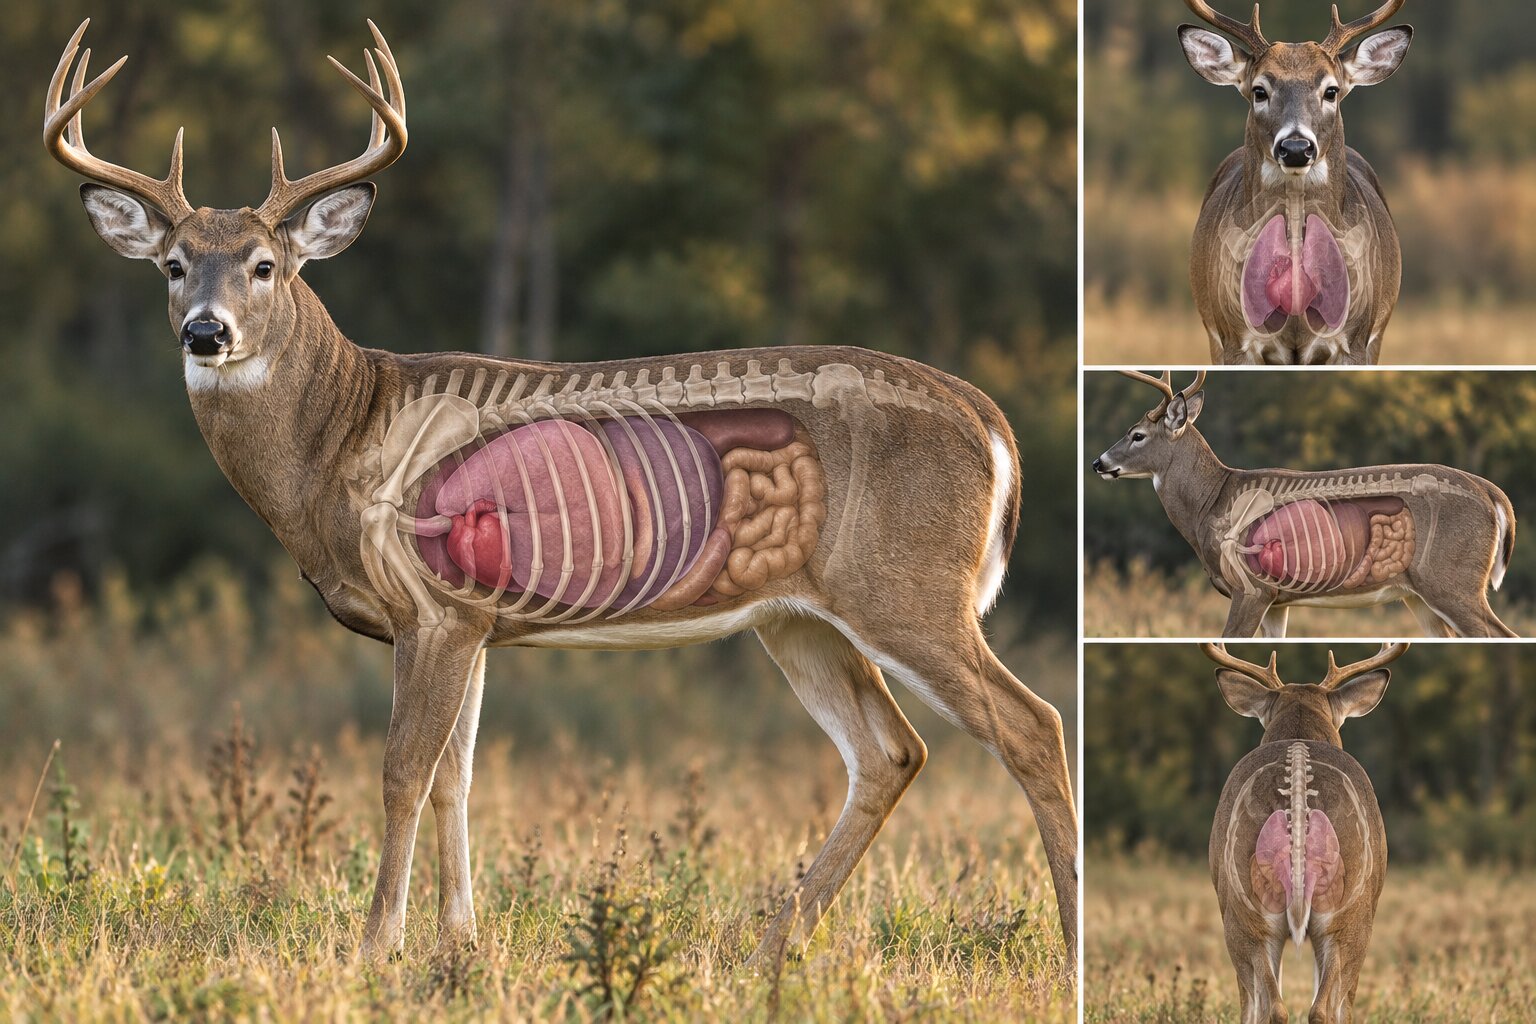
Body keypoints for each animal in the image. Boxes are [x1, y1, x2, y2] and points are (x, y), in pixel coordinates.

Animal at [42, 20, 1078, 969]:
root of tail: (991, 422)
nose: (206, 332)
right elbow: (456, 778)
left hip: (906, 587)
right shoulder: (474, 621)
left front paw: (376, 947)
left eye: (266, 266)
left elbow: (402, 772)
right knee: (890, 752)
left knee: (1033, 725)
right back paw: (766, 952)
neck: (344, 436)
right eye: (173, 266)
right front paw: (459, 941)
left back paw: (1067, 954)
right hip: (800, 617)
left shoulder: (437, 606)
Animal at [1092, 370, 1517, 637]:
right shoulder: (1278, 602)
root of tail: (1492, 494)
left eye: (1137, 435)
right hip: (1418, 595)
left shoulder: (1252, 589)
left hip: (1453, 582)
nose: (1099, 462)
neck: (1212, 501)